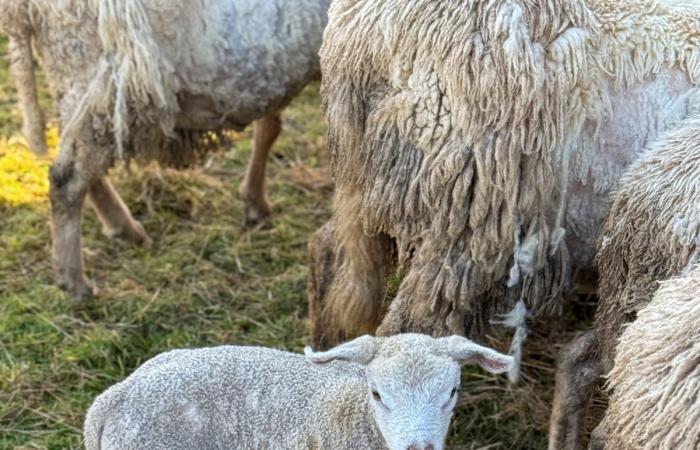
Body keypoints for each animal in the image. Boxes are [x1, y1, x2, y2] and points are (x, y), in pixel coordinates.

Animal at [0, 0, 330, 298]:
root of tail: (23, 9)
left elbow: (269, 127)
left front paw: (255, 202)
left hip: (74, 82)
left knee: (78, 165)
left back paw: (122, 228)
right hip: (92, 71)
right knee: (67, 179)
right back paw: (75, 281)